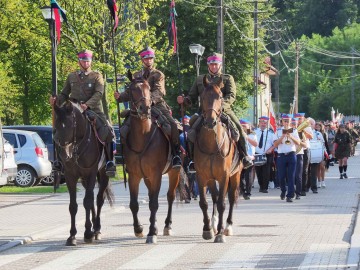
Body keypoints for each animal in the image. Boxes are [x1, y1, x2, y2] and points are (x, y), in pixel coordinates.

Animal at [53, 100, 114, 246]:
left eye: (70, 125)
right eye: (56, 125)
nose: (64, 154)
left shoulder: (91, 173)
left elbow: (87, 201)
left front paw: (87, 233)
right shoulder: (70, 176)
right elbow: (73, 206)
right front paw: (72, 236)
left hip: (103, 175)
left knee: (98, 199)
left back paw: (96, 229)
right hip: (84, 180)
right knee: (91, 199)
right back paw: (93, 228)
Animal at [123, 71, 180, 245]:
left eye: (148, 88)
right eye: (132, 89)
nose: (145, 108)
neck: (143, 135)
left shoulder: (156, 175)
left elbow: (154, 204)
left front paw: (152, 233)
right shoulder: (134, 175)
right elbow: (134, 204)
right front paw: (139, 229)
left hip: (174, 172)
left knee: (170, 197)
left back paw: (167, 226)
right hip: (147, 177)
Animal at [194, 75, 242, 243]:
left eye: (220, 96)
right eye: (202, 96)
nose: (210, 121)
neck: (211, 145)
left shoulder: (224, 176)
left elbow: (222, 203)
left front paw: (220, 234)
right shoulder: (201, 176)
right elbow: (204, 203)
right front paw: (207, 230)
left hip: (235, 175)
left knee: (231, 198)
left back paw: (227, 227)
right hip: (211, 179)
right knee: (214, 197)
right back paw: (214, 225)